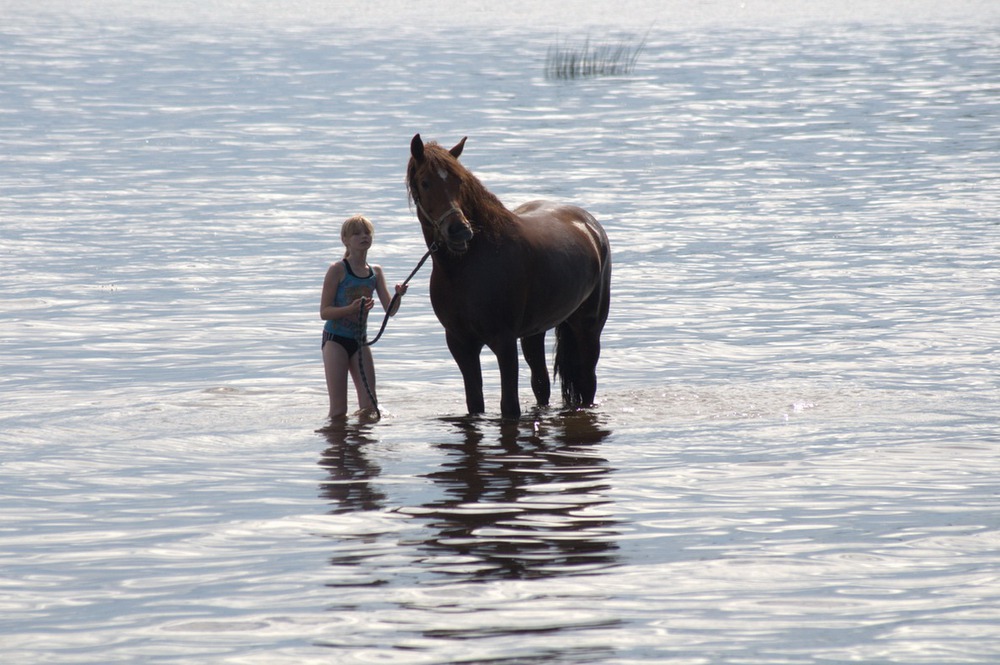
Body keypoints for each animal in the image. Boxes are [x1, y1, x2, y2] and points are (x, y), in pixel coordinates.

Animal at [404, 132, 608, 418]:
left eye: (459, 181)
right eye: (425, 183)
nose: (459, 230)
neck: (467, 269)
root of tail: (589, 225)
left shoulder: (504, 341)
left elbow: (509, 407)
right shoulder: (461, 344)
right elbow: (475, 403)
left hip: (588, 327)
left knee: (587, 383)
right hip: (534, 333)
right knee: (541, 384)